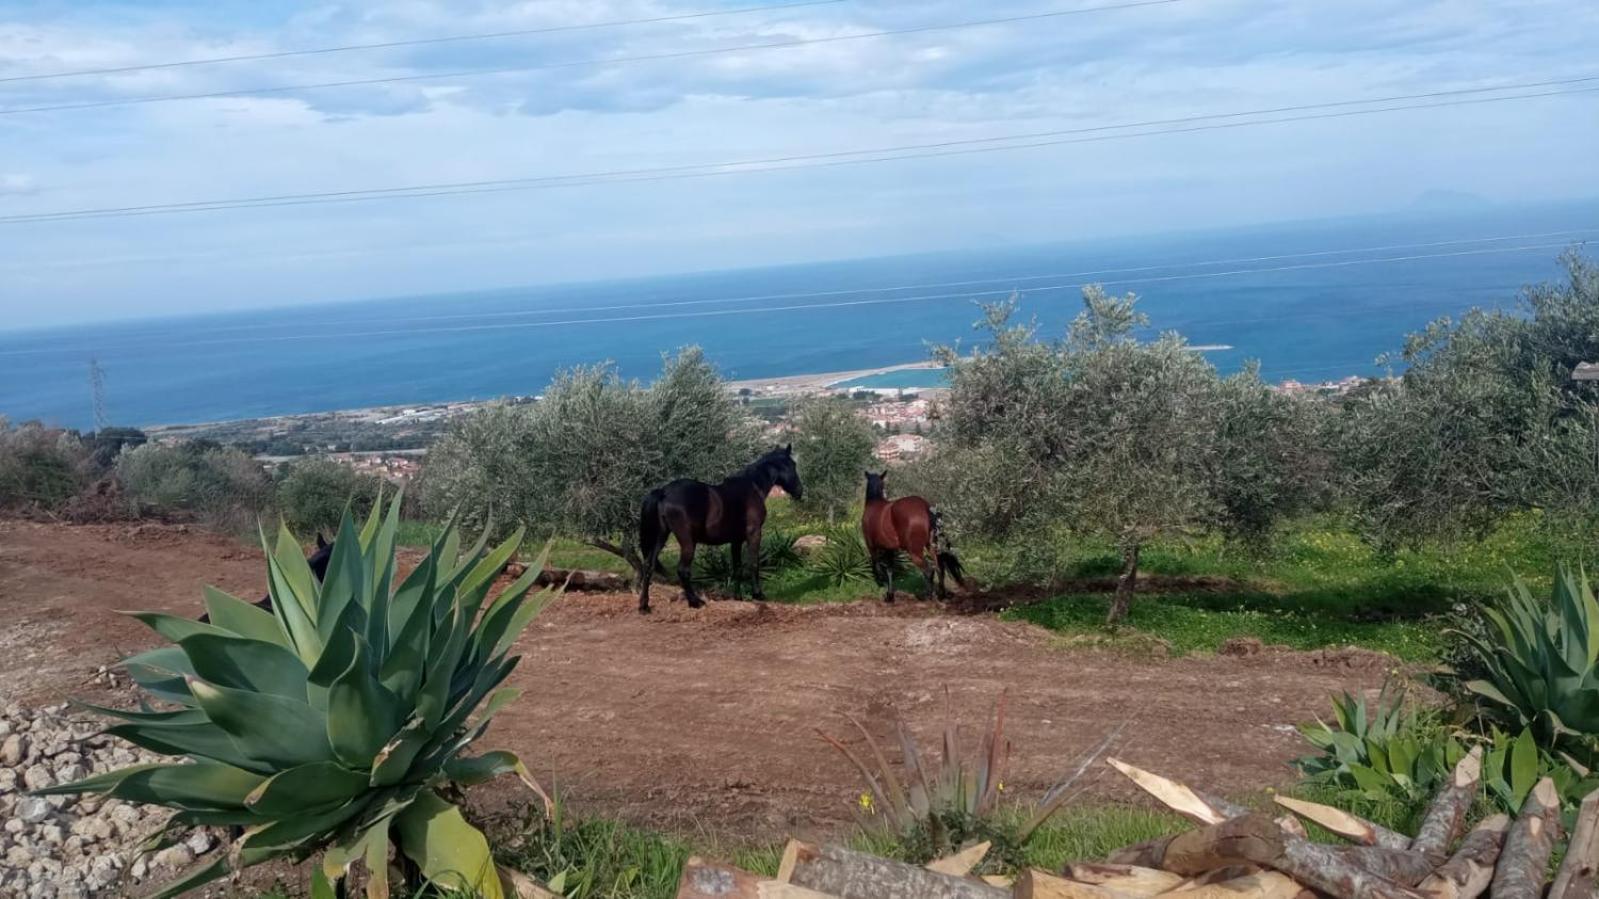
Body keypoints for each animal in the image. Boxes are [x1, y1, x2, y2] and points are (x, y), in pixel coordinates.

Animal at [636, 444, 805, 611]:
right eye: (792, 465)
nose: (799, 491)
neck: (752, 487)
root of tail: (663, 492)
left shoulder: (736, 540)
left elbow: (737, 568)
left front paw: (738, 597)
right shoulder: (754, 533)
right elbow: (753, 563)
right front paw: (758, 594)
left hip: (660, 536)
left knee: (649, 566)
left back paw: (644, 605)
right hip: (687, 542)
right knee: (683, 570)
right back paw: (695, 602)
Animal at [863, 470, 959, 601]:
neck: (874, 502)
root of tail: (925, 507)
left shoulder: (872, 547)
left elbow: (878, 567)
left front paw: (885, 589)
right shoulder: (889, 549)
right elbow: (890, 570)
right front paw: (890, 594)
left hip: (914, 551)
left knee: (929, 570)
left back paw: (927, 595)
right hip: (931, 546)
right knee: (939, 567)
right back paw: (941, 594)